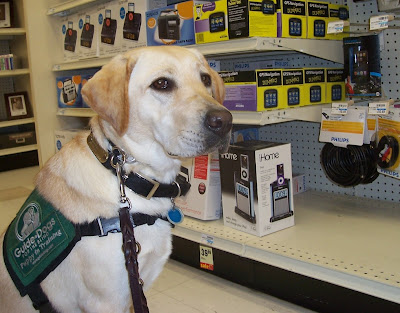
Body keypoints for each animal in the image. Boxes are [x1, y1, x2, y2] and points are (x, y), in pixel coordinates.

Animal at [0, 46, 233, 312]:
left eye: (205, 79)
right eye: (162, 83)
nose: (225, 121)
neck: (133, 177)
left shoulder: (136, 287)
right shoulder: (104, 300)